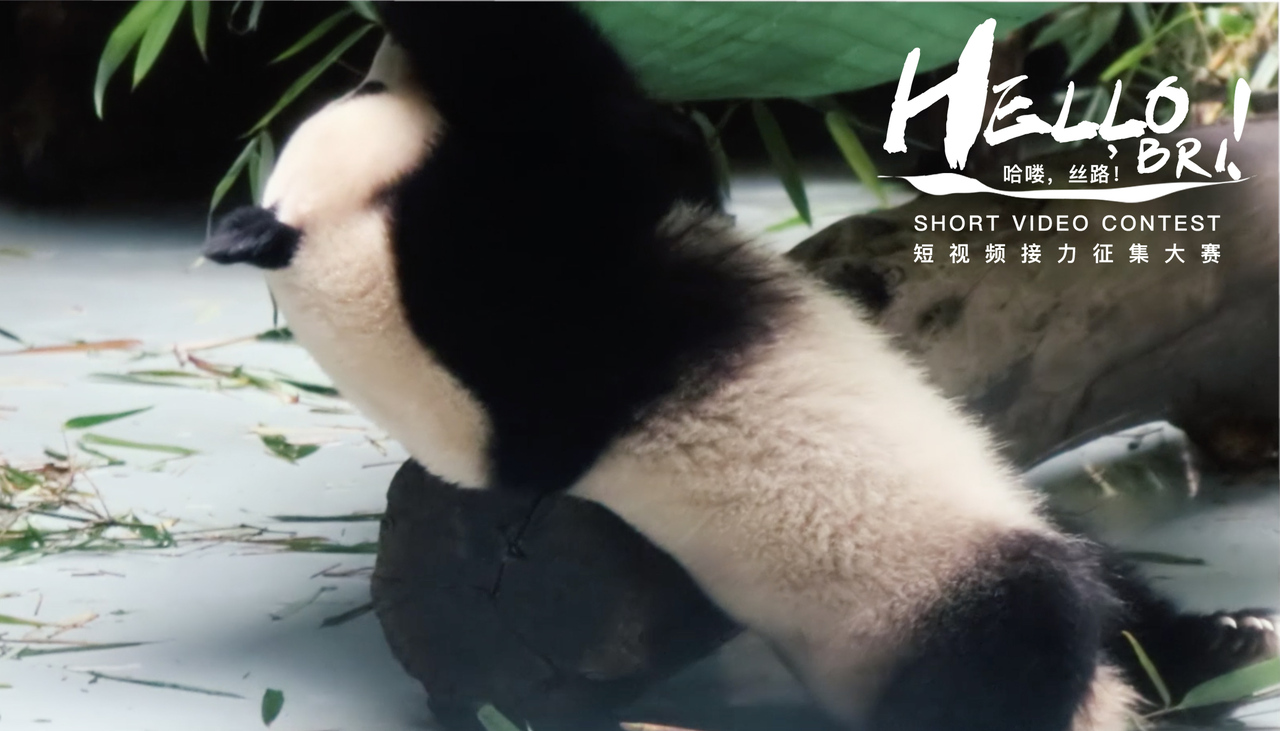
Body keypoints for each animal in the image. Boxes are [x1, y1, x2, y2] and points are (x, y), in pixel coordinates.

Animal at [203, 4, 1277, 730]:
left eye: (364, 87)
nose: (370, 68)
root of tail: (1105, 709)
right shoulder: (509, 317)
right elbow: (580, 125)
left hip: (1002, 521)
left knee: (1116, 593)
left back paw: (1223, 644)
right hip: (921, 602)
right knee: (1023, 642)